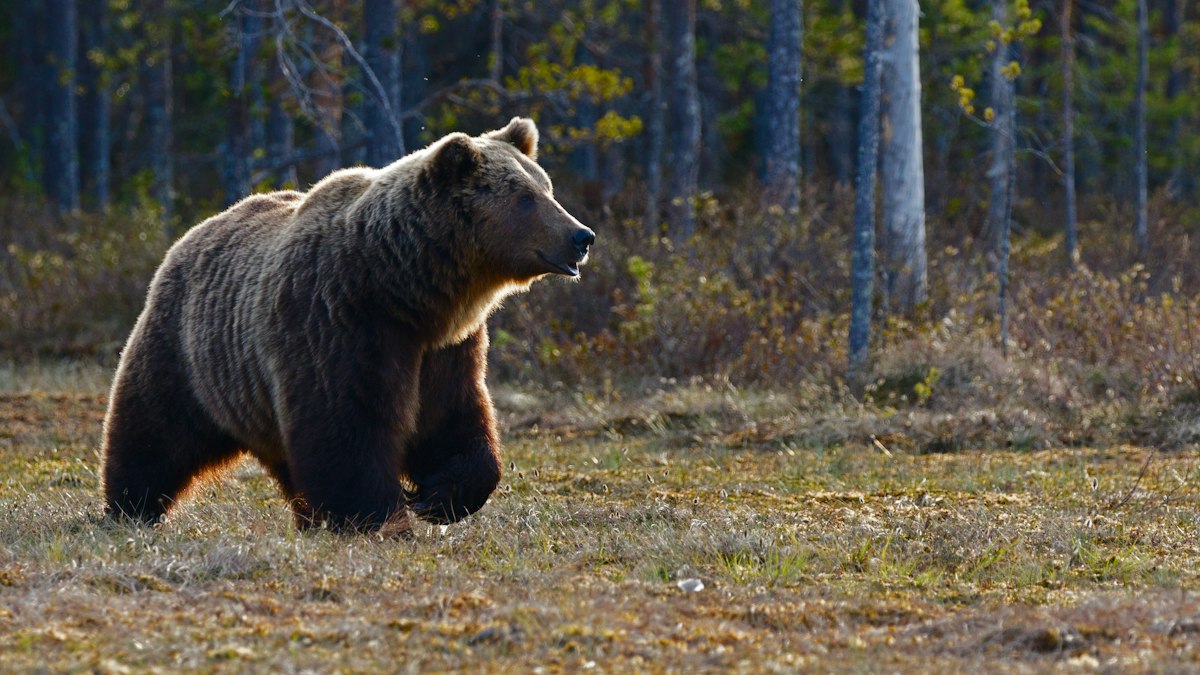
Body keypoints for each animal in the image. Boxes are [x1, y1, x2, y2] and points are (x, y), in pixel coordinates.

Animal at [100, 117, 594, 532]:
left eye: (547, 188)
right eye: (525, 198)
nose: (582, 235)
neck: (404, 288)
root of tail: (192, 233)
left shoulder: (446, 347)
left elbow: (452, 416)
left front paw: (438, 496)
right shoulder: (339, 321)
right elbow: (347, 425)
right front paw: (379, 515)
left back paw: (307, 517)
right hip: (189, 351)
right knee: (154, 430)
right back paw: (130, 507)